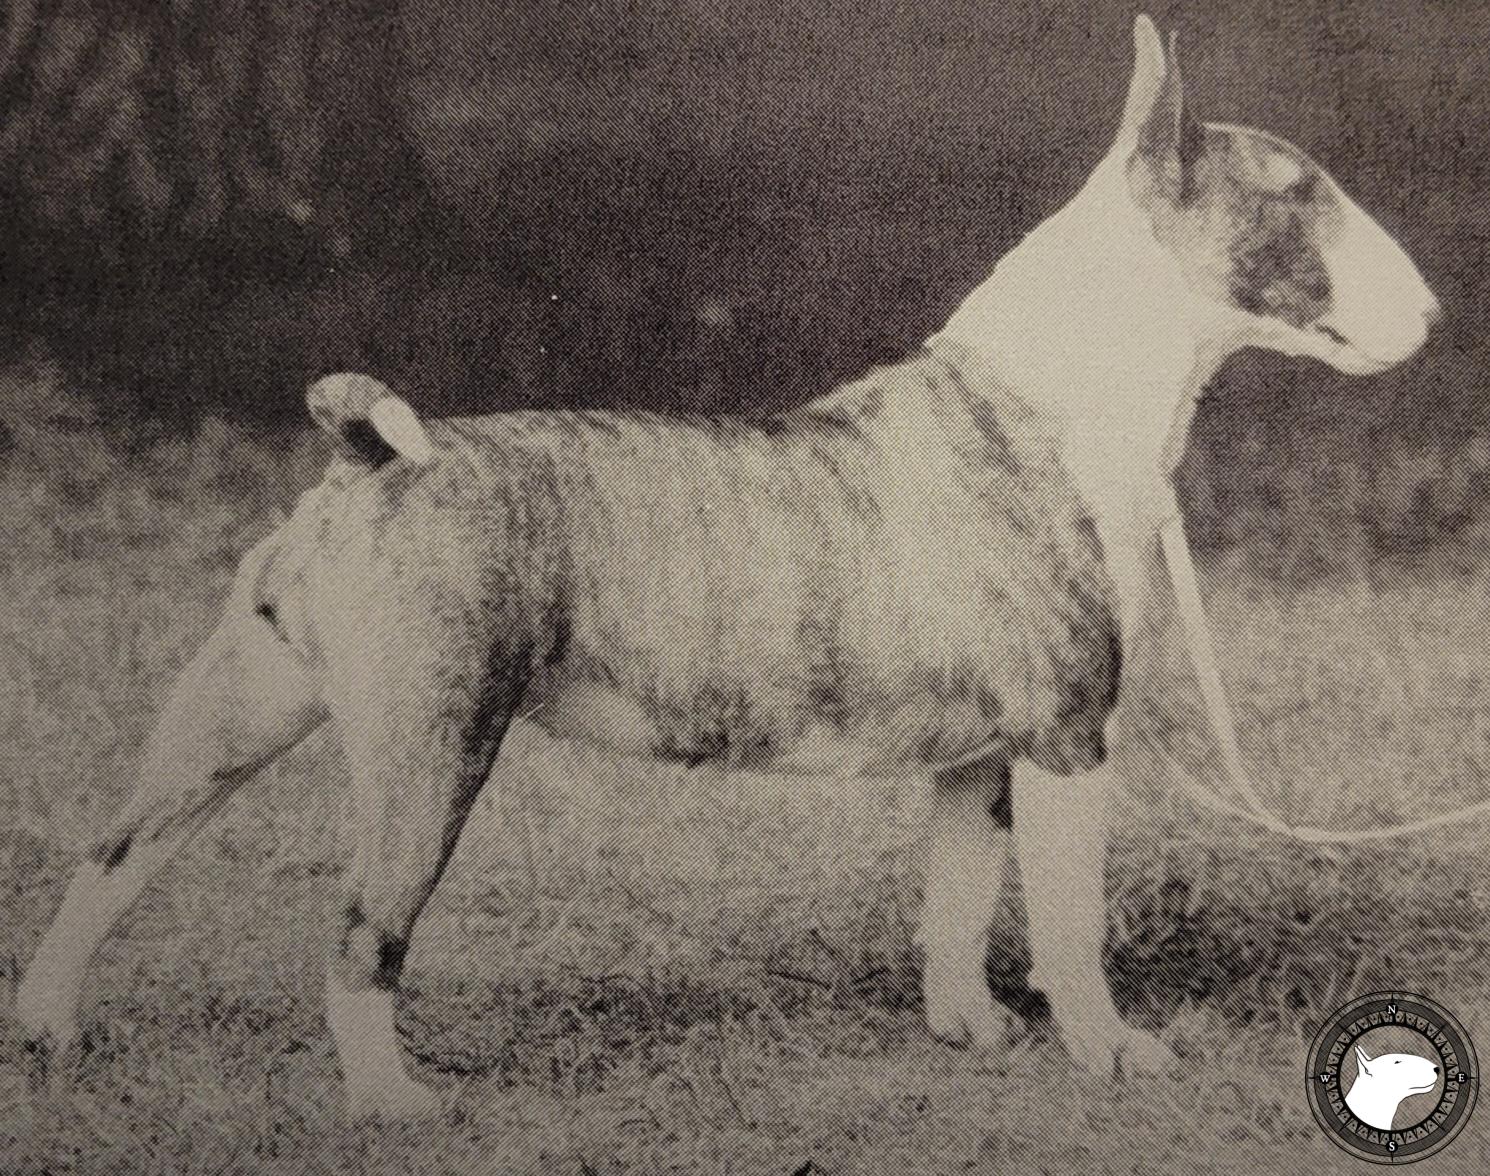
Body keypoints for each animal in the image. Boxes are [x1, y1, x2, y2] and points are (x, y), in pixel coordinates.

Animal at [17, 18, 1436, 1120]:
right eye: (1298, 193)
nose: (1430, 316)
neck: (1071, 382)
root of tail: (369, 465)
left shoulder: (978, 757)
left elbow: (954, 898)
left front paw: (966, 1032)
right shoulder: (1066, 740)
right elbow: (1068, 918)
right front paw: (1107, 1053)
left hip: (234, 708)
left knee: (114, 855)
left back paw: (46, 1027)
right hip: (433, 744)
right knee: (363, 929)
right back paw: (389, 1100)